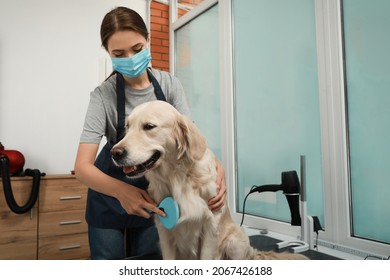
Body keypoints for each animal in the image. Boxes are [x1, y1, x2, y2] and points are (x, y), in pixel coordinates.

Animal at [110, 100, 308, 260]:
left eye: (149, 126)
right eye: (127, 126)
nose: (115, 153)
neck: (178, 176)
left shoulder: (210, 223)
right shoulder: (164, 229)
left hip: (234, 242)